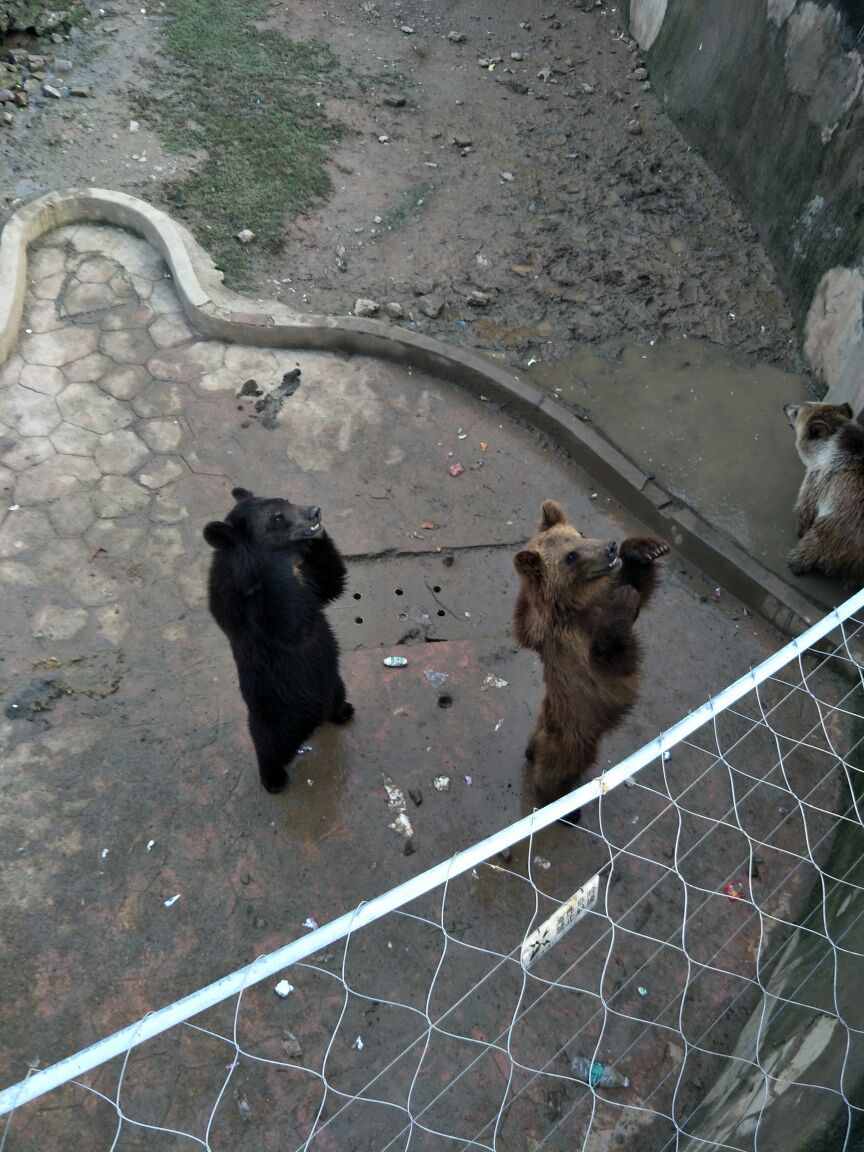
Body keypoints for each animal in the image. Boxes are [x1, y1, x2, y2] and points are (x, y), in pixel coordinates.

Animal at [205, 486, 352, 792]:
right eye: (276, 517)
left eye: (286, 500)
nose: (314, 512)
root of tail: (314, 720)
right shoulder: (245, 607)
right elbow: (287, 625)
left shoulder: (311, 579)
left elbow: (331, 582)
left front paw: (319, 534)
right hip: (274, 714)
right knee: (268, 747)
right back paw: (273, 779)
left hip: (334, 682)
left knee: (337, 698)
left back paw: (343, 711)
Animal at [513, 502, 668, 811]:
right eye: (570, 556)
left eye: (579, 534)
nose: (609, 547)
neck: (578, 605)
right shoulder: (575, 648)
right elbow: (610, 657)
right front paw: (624, 599)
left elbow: (640, 587)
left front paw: (645, 548)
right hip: (573, 734)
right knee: (557, 768)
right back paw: (562, 804)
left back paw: (530, 750)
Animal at [783, 403, 864, 585]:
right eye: (805, 403)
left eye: (797, 412)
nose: (785, 406)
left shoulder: (821, 477)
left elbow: (805, 508)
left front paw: (800, 529)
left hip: (838, 529)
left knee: (816, 541)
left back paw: (795, 561)